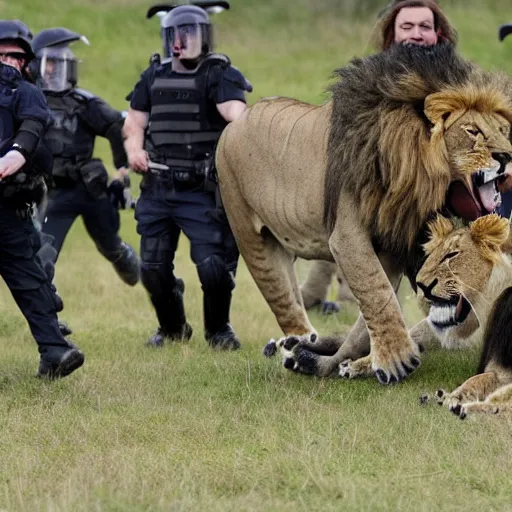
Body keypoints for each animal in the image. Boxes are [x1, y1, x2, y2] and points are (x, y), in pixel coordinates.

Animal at [215, 44, 512, 382]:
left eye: (503, 130)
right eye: (472, 131)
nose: (507, 156)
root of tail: (237, 121)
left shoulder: (393, 238)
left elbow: (376, 303)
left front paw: (362, 359)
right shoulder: (347, 235)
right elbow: (375, 290)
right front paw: (396, 359)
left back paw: (307, 352)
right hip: (249, 231)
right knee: (280, 295)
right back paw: (296, 343)